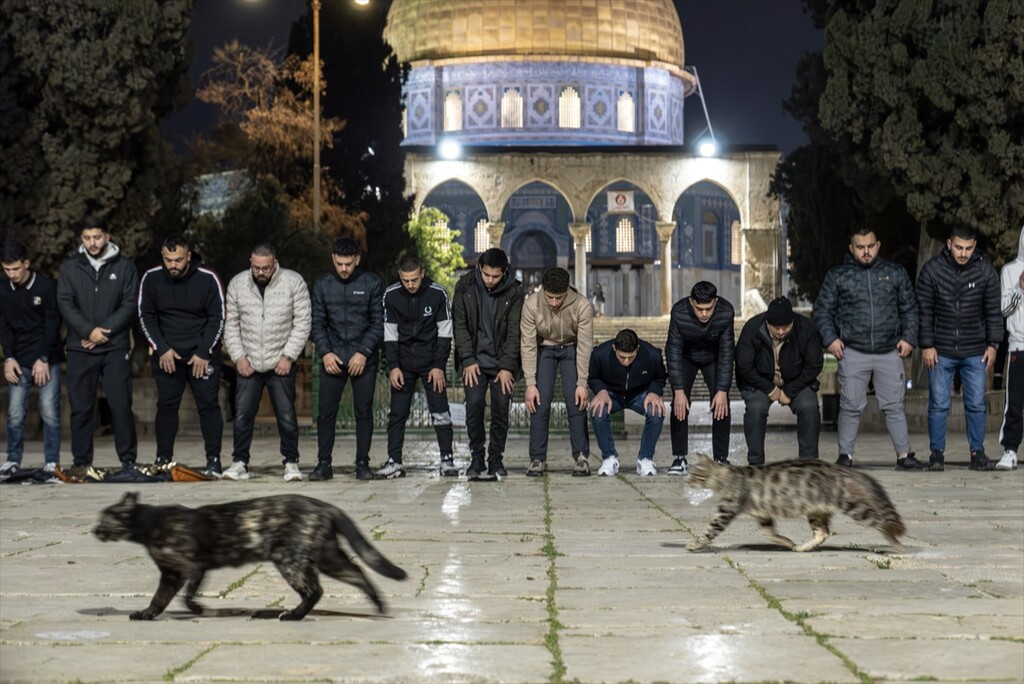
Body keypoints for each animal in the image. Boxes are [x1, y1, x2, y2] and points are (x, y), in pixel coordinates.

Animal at [94, 492, 408, 621]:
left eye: (104, 519)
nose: (94, 529)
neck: (151, 524)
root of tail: (325, 506)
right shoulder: (173, 574)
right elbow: (159, 599)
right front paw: (146, 615)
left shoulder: (192, 567)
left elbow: (184, 597)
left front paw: (199, 610)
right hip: (328, 557)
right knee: (358, 574)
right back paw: (379, 606)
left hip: (290, 561)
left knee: (315, 590)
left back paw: (291, 616)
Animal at [684, 454, 906, 553]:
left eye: (695, 474)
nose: (686, 480)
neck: (728, 478)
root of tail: (839, 469)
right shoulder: (763, 515)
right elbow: (771, 534)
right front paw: (787, 541)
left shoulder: (726, 510)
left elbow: (709, 531)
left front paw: (695, 544)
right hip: (816, 512)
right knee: (823, 533)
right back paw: (801, 547)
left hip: (853, 508)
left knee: (879, 520)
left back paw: (896, 543)